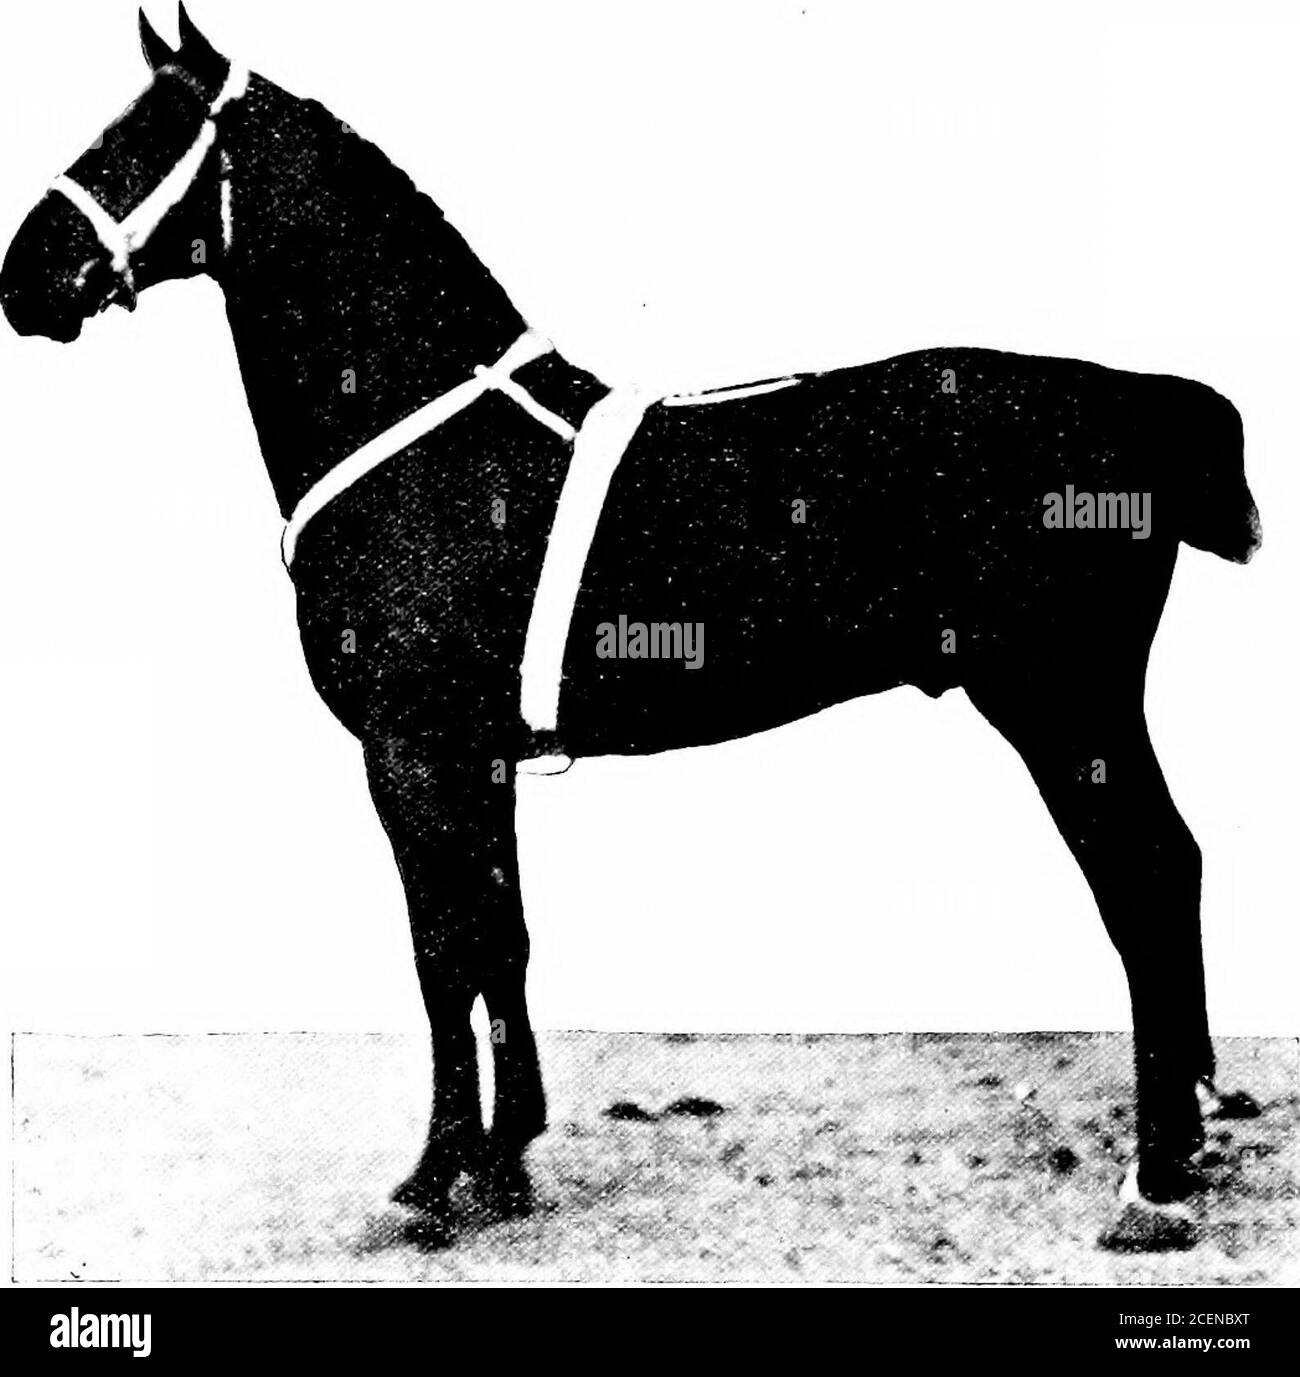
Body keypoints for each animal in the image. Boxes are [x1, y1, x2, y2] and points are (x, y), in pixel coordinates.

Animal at [0, 7, 1263, 1253]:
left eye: (137, 138)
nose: (26, 283)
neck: (433, 446)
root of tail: (1143, 403)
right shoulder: (481, 759)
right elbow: (500, 937)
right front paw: (506, 1162)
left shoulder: (410, 754)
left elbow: (441, 950)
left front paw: (430, 1178)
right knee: (1177, 866)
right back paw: (1192, 1129)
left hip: (1061, 703)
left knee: (1146, 880)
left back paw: (1152, 1180)